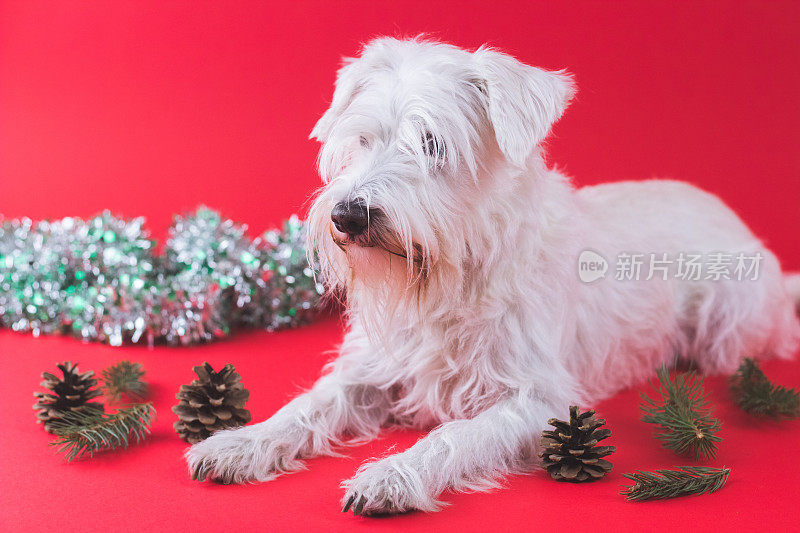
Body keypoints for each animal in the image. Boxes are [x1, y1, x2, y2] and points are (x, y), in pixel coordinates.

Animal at [188, 36, 800, 512]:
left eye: (432, 142)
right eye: (362, 139)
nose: (347, 215)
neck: (448, 277)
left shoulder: (537, 402)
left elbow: (453, 436)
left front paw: (391, 476)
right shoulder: (371, 370)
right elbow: (307, 406)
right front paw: (238, 443)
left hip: (729, 329)